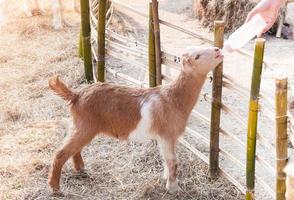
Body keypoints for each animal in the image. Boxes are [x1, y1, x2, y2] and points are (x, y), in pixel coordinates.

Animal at [47, 46, 223, 194]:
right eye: (197, 56)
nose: (218, 50)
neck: (173, 99)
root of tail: (76, 95)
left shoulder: (165, 138)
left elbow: (166, 160)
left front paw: (166, 178)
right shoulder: (167, 134)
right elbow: (173, 161)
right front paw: (173, 188)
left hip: (81, 126)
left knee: (73, 149)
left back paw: (80, 169)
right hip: (85, 126)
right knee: (61, 152)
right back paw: (55, 188)